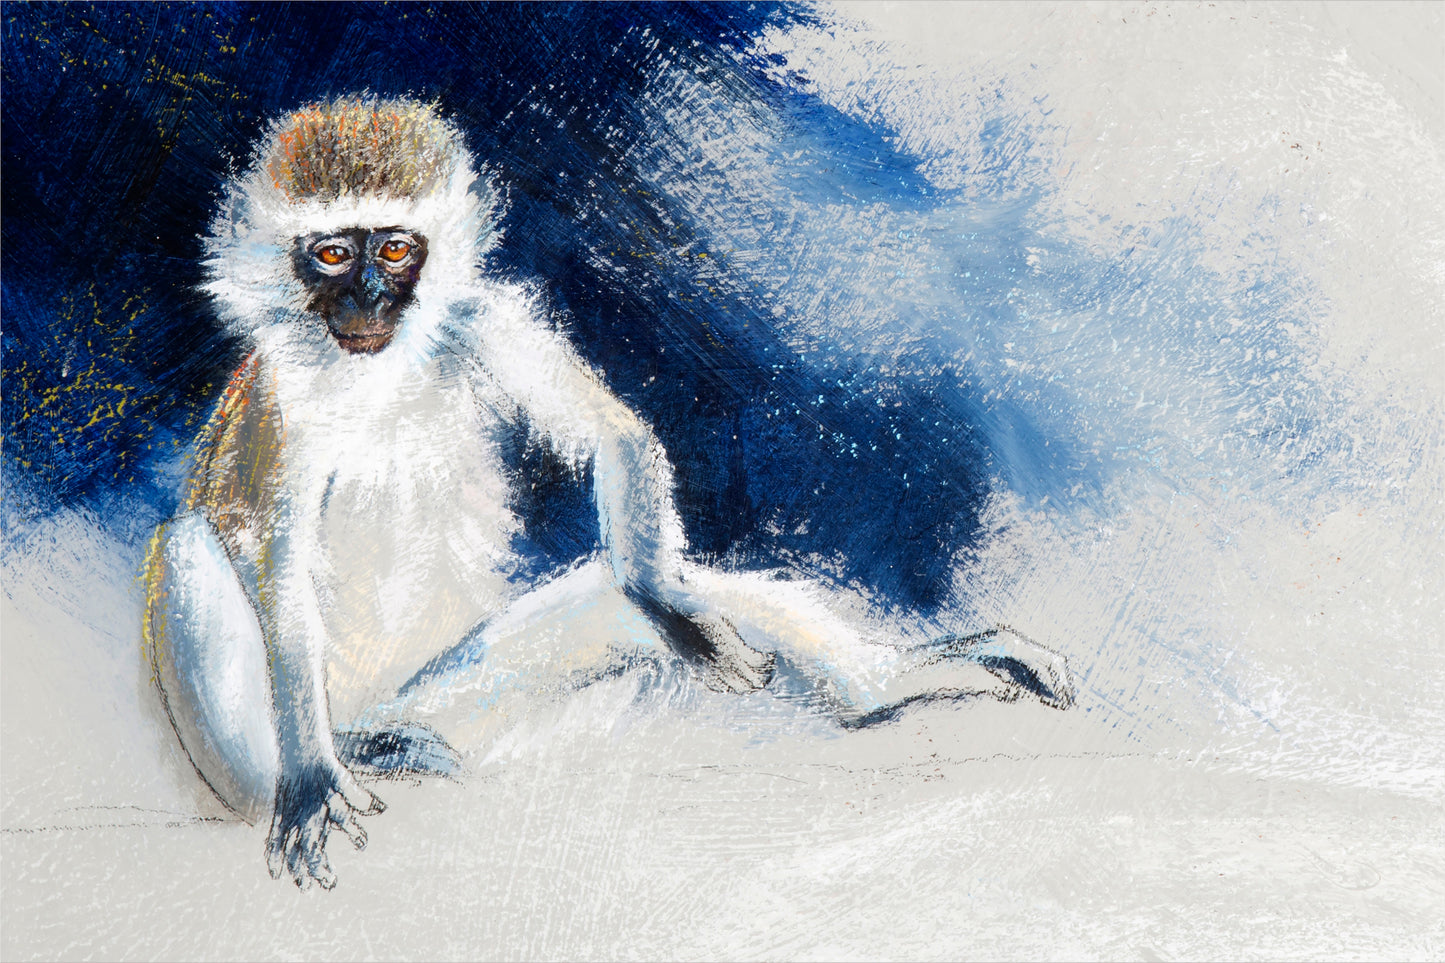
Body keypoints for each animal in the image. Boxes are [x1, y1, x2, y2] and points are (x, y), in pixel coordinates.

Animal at [143, 96, 1074, 890]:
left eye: (396, 250)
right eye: (333, 252)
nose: (369, 297)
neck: (379, 369)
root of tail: (381, 705)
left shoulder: (486, 319)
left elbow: (611, 436)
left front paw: (678, 614)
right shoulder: (280, 404)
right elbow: (280, 571)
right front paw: (306, 781)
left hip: (461, 690)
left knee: (621, 594)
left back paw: (880, 681)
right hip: (291, 728)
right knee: (185, 546)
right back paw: (330, 761)